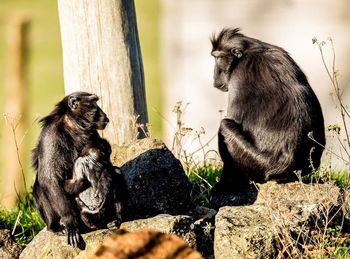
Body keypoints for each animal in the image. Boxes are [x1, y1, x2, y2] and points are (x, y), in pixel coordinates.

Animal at [32, 92, 110, 249]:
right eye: (94, 103)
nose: (104, 114)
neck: (72, 125)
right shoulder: (51, 137)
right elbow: (50, 179)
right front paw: (69, 221)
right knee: (40, 186)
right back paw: (56, 226)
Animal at [212, 28, 326, 195]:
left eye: (218, 57)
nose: (215, 75)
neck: (249, 49)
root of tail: (285, 169)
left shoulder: (239, 75)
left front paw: (222, 187)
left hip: (259, 164)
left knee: (225, 126)